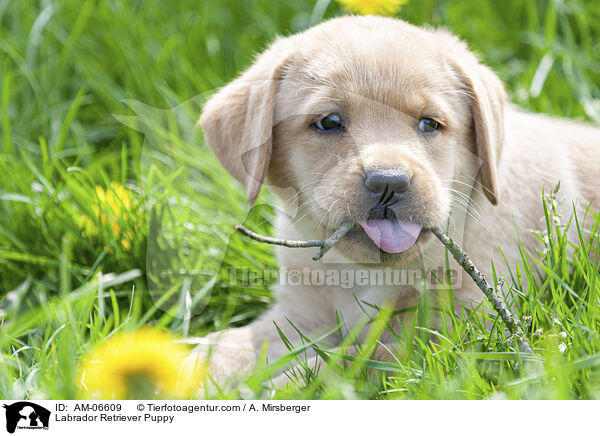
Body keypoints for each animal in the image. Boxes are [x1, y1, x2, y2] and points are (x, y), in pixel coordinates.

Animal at [195, 15, 596, 386]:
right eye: (329, 122)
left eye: (430, 124)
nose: (389, 183)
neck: (363, 273)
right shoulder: (300, 314)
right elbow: (234, 345)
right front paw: (197, 370)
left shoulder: (455, 337)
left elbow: (352, 362)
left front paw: (280, 386)